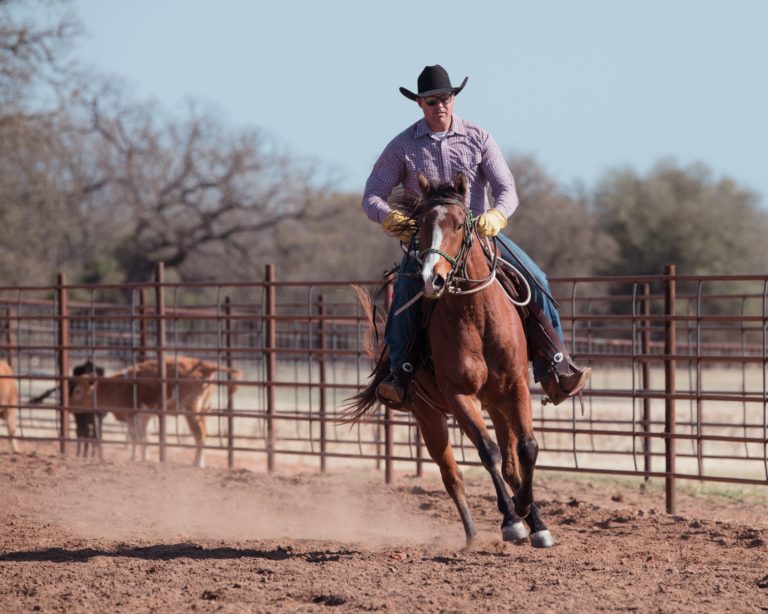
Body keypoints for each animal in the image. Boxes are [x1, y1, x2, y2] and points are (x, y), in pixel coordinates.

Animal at [342, 171, 552, 552]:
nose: (432, 279)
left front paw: (532, 517)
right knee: (451, 475)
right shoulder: (458, 396)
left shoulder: (516, 388)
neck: (478, 316)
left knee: (511, 464)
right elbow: (487, 452)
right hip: (428, 415)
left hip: (496, 403)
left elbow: (527, 448)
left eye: (458, 224)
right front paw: (511, 520)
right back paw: (473, 534)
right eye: (421, 225)